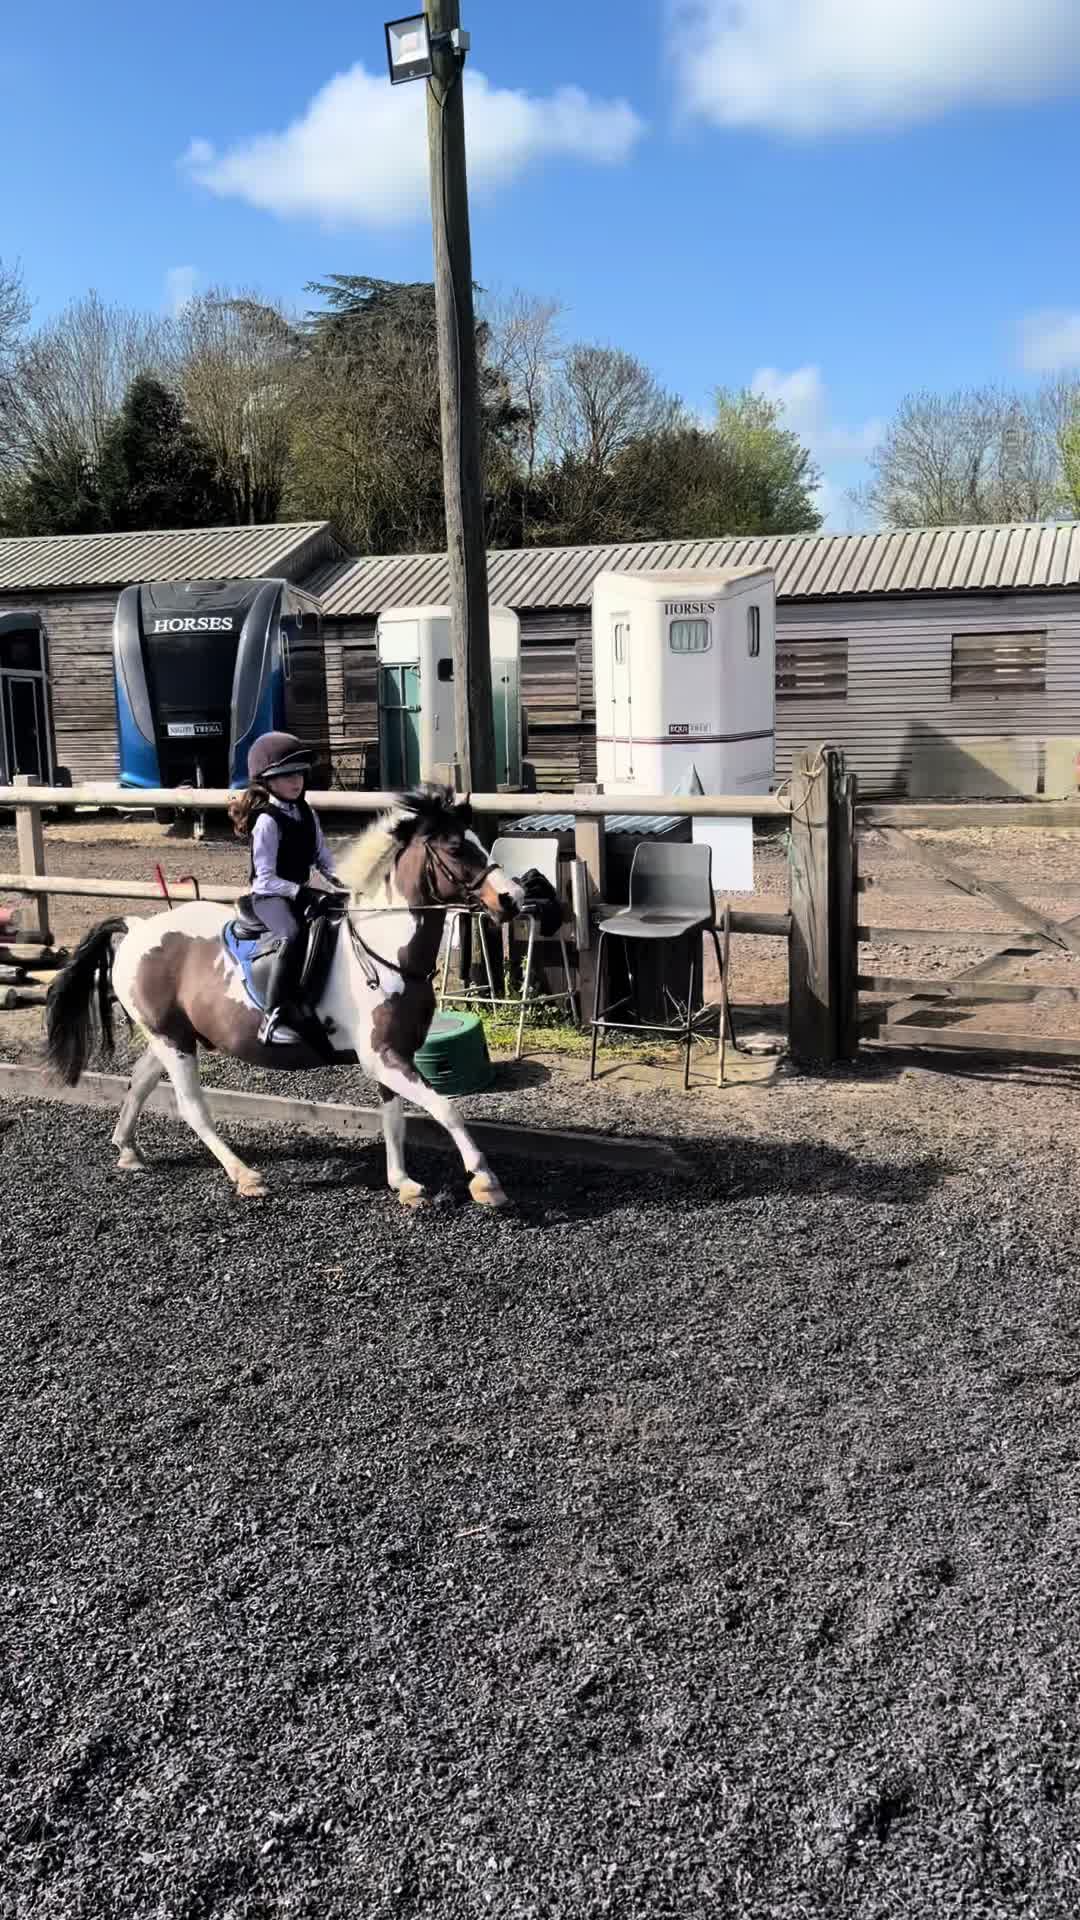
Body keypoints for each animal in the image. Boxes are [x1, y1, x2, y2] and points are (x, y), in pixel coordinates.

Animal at [44, 786, 557, 1209]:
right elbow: (446, 1108)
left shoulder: (394, 1054)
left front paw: (404, 1184)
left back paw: (128, 1150)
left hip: (173, 1036)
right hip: (174, 1041)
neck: (386, 948)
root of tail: (137, 926)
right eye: (455, 847)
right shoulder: (383, 1056)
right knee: (191, 1106)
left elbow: (395, 1117)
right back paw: (245, 1175)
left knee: (140, 1080)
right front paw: (485, 1181)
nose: (513, 899)